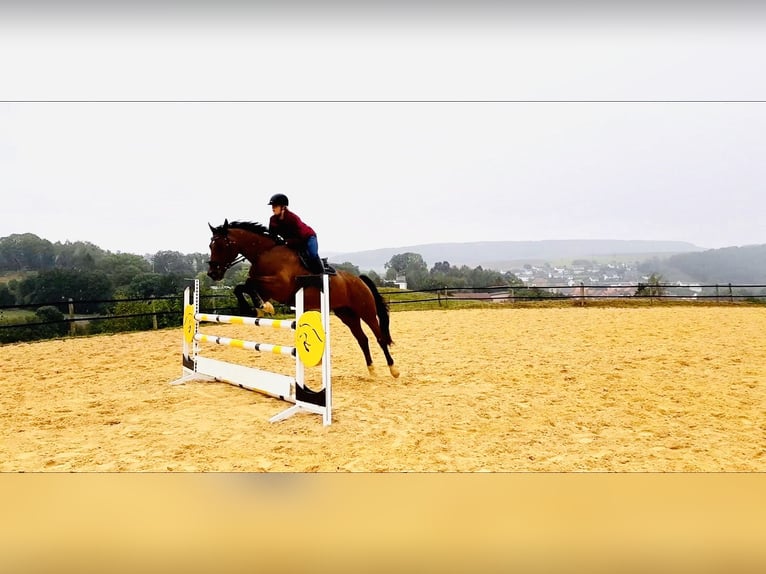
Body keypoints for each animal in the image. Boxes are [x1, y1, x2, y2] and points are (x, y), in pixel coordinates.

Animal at [207, 219, 402, 378]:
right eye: (210, 246)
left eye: (221, 245)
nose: (212, 273)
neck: (265, 253)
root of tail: (359, 280)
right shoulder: (265, 289)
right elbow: (241, 287)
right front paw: (255, 308)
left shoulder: (280, 286)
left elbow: (248, 283)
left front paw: (262, 307)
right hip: (346, 314)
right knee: (362, 339)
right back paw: (372, 370)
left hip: (365, 311)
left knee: (379, 337)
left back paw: (394, 370)